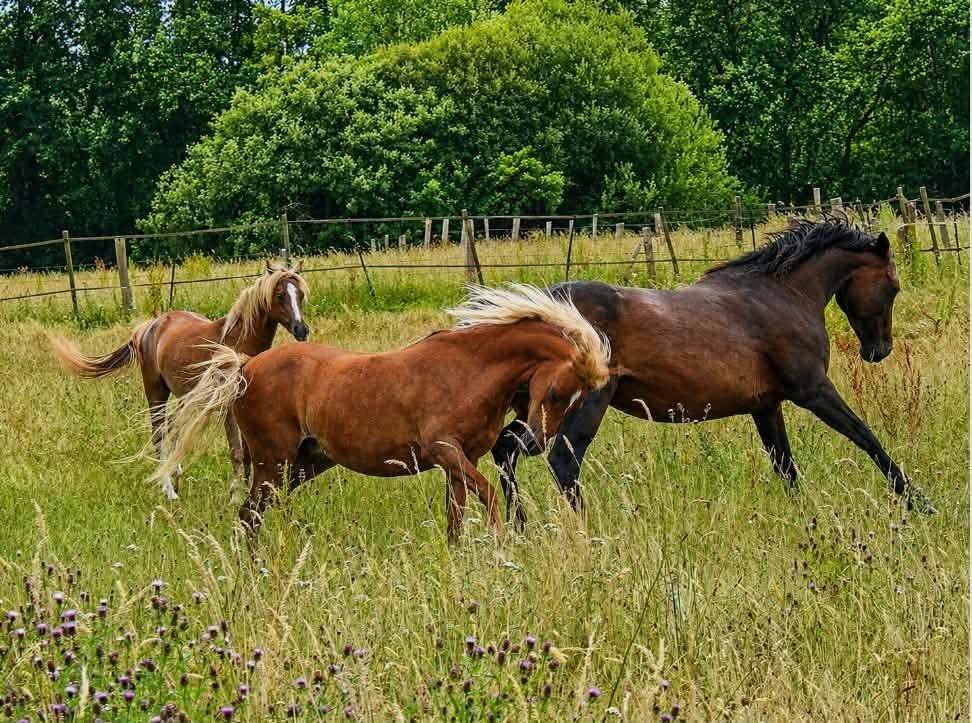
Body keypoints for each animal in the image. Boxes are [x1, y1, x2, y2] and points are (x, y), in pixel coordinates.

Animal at [49, 261, 310, 501]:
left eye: (300, 294)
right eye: (280, 295)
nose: (302, 330)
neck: (238, 341)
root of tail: (148, 327)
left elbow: (248, 453)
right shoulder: (227, 407)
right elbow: (237, 451)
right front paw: (236, 496)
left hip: (183, 395)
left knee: (171, 428)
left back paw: (175, 472)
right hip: (156, 392)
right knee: (158, 433)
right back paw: (168, 489)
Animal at [151, 284, 612, 542]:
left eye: (579, 401)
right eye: (557, 391)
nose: (534, 442)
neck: (468, 370)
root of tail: (245, 366)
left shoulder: (458, 463)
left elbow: (456, 519)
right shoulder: (446, 451)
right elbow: (490, 496)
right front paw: (503, 548)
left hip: (304, 464)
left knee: (254, 513)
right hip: (272, 463)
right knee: (249, 514)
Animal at [491, 219, 935, 529]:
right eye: (893, 286)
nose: (879, 351)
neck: (783, 296)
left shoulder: (766, 407)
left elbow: (786, 466)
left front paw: (805, 517)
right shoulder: (812, 390)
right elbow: (866, 437)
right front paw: (919, 501)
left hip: (537, 408)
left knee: (505, 450)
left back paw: (520, 528)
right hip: (581, 405)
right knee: (562, 461)